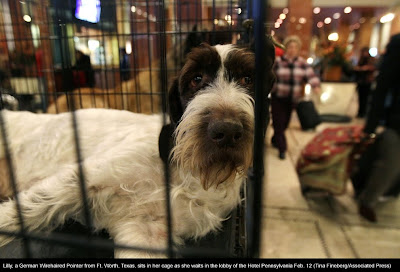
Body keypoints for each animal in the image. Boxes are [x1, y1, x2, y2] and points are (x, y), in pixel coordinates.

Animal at [0, 39, 276, 258]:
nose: (226, 130)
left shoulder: (147, 233)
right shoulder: (86, 176)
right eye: (196, 79)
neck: (184, 174)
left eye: (248, 80)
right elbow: (28, 207)